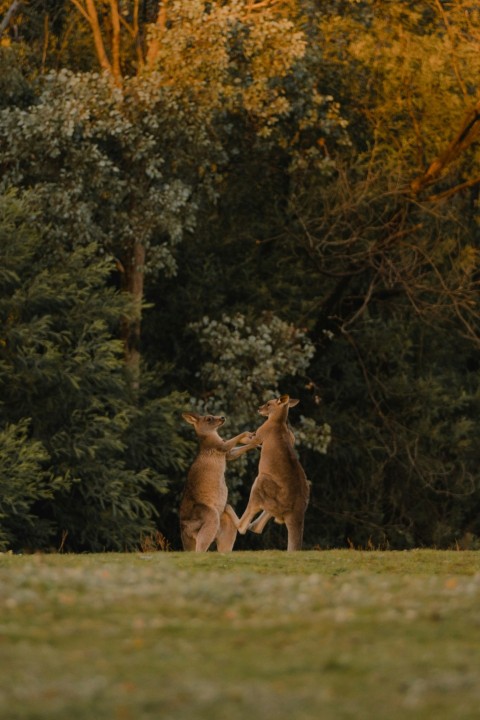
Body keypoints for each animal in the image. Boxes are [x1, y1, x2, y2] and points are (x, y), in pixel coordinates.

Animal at [179, 412, 259, 552]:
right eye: (209, 419)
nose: (222, 417)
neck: (210, 435)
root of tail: (184, 530)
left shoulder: (226, 452)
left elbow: (232, 453)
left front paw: (255, 441)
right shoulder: (219, 446)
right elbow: (228, 443)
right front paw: (248, 434)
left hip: (225, 526)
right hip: (209, 516)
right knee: (201, 547)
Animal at [227, 394, 310, 551]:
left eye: (268, 404)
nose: (259, 409)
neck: (279, 422)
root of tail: (296, 511)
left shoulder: (263, 431)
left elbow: (248, 438)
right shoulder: (291, 436)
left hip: (261, 482)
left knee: (242, 527)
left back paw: (227, 508)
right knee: (257, 527)